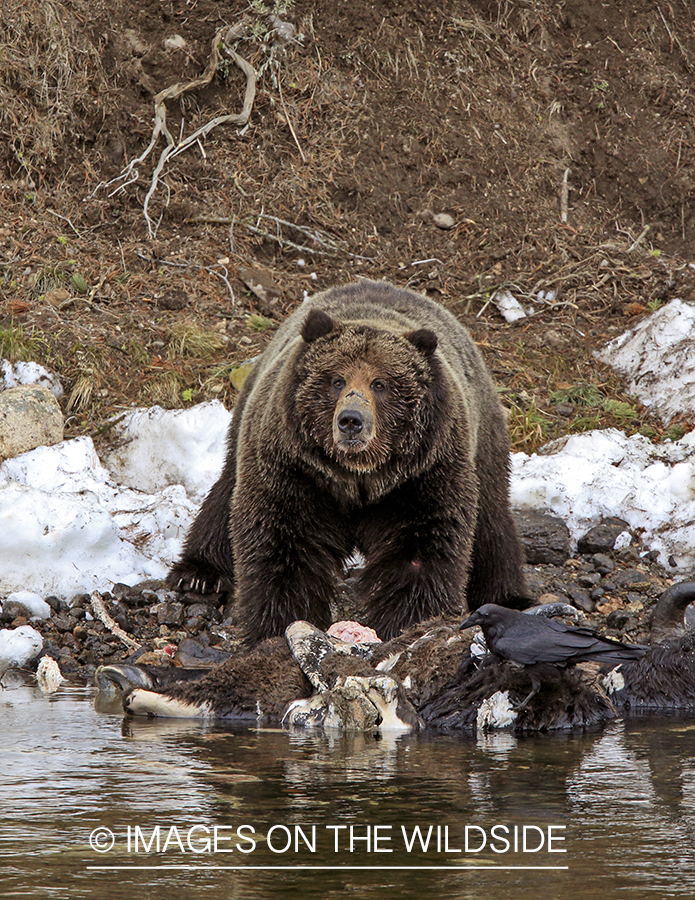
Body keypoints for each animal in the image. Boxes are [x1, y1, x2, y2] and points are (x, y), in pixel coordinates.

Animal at [169, 280, 528, 640]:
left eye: (380, 383)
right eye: (336, 380)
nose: (351, 420)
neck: (358, 476)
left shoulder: (423, 475)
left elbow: (423, 547)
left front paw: (410, 621)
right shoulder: (294, 468)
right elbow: (282, 541)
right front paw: (278, 622)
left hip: (483, 439)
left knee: (492, 518)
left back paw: (509, 596)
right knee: (226, 490)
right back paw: (198, 573)